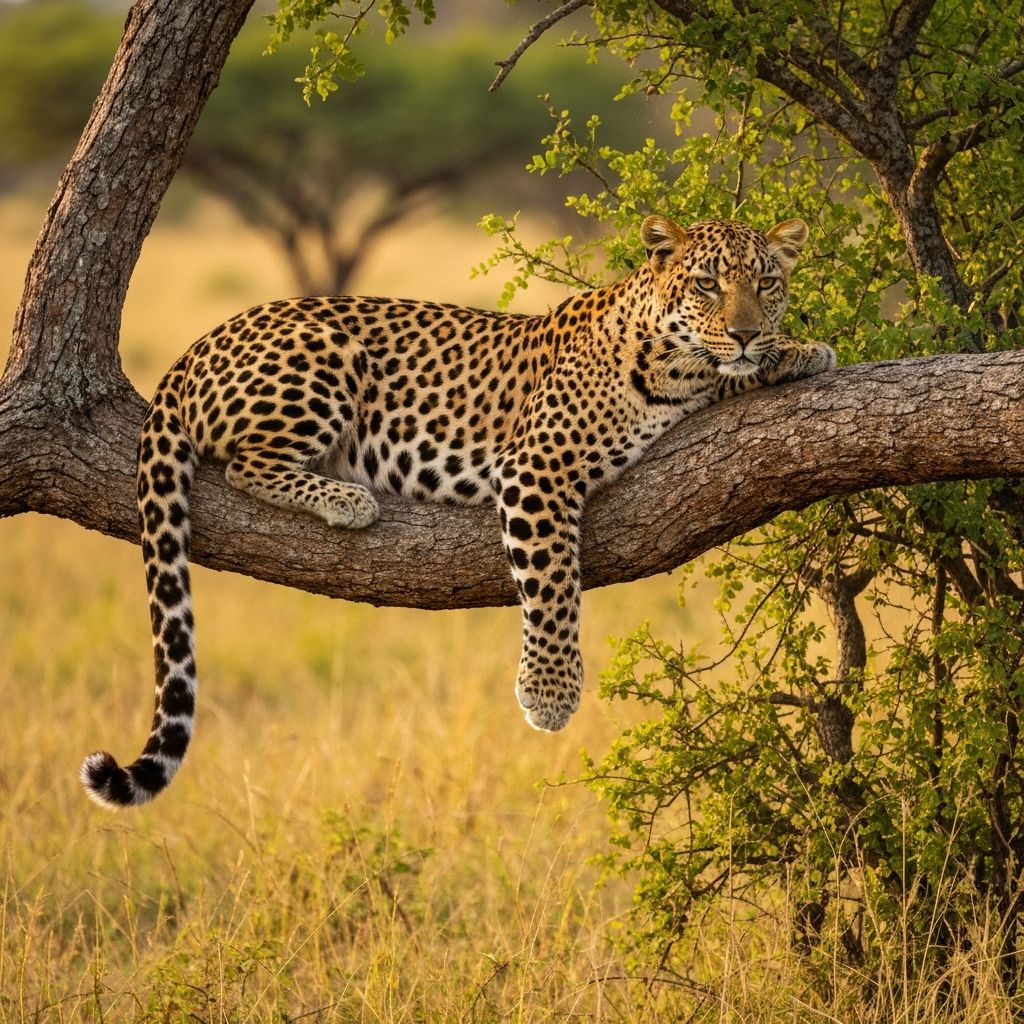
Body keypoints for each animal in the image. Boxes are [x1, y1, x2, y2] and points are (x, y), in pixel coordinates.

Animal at [80, 214, 836, 808]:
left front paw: (799, 349)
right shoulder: (536, 465)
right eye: (706, 283)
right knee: (244, 463)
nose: (745, 331)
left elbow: (738, 373)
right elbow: (553, 584)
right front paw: (550, 694)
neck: (674, 363)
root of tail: (194, 349)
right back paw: (347, 499)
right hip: (326, 355)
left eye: (767, 283)